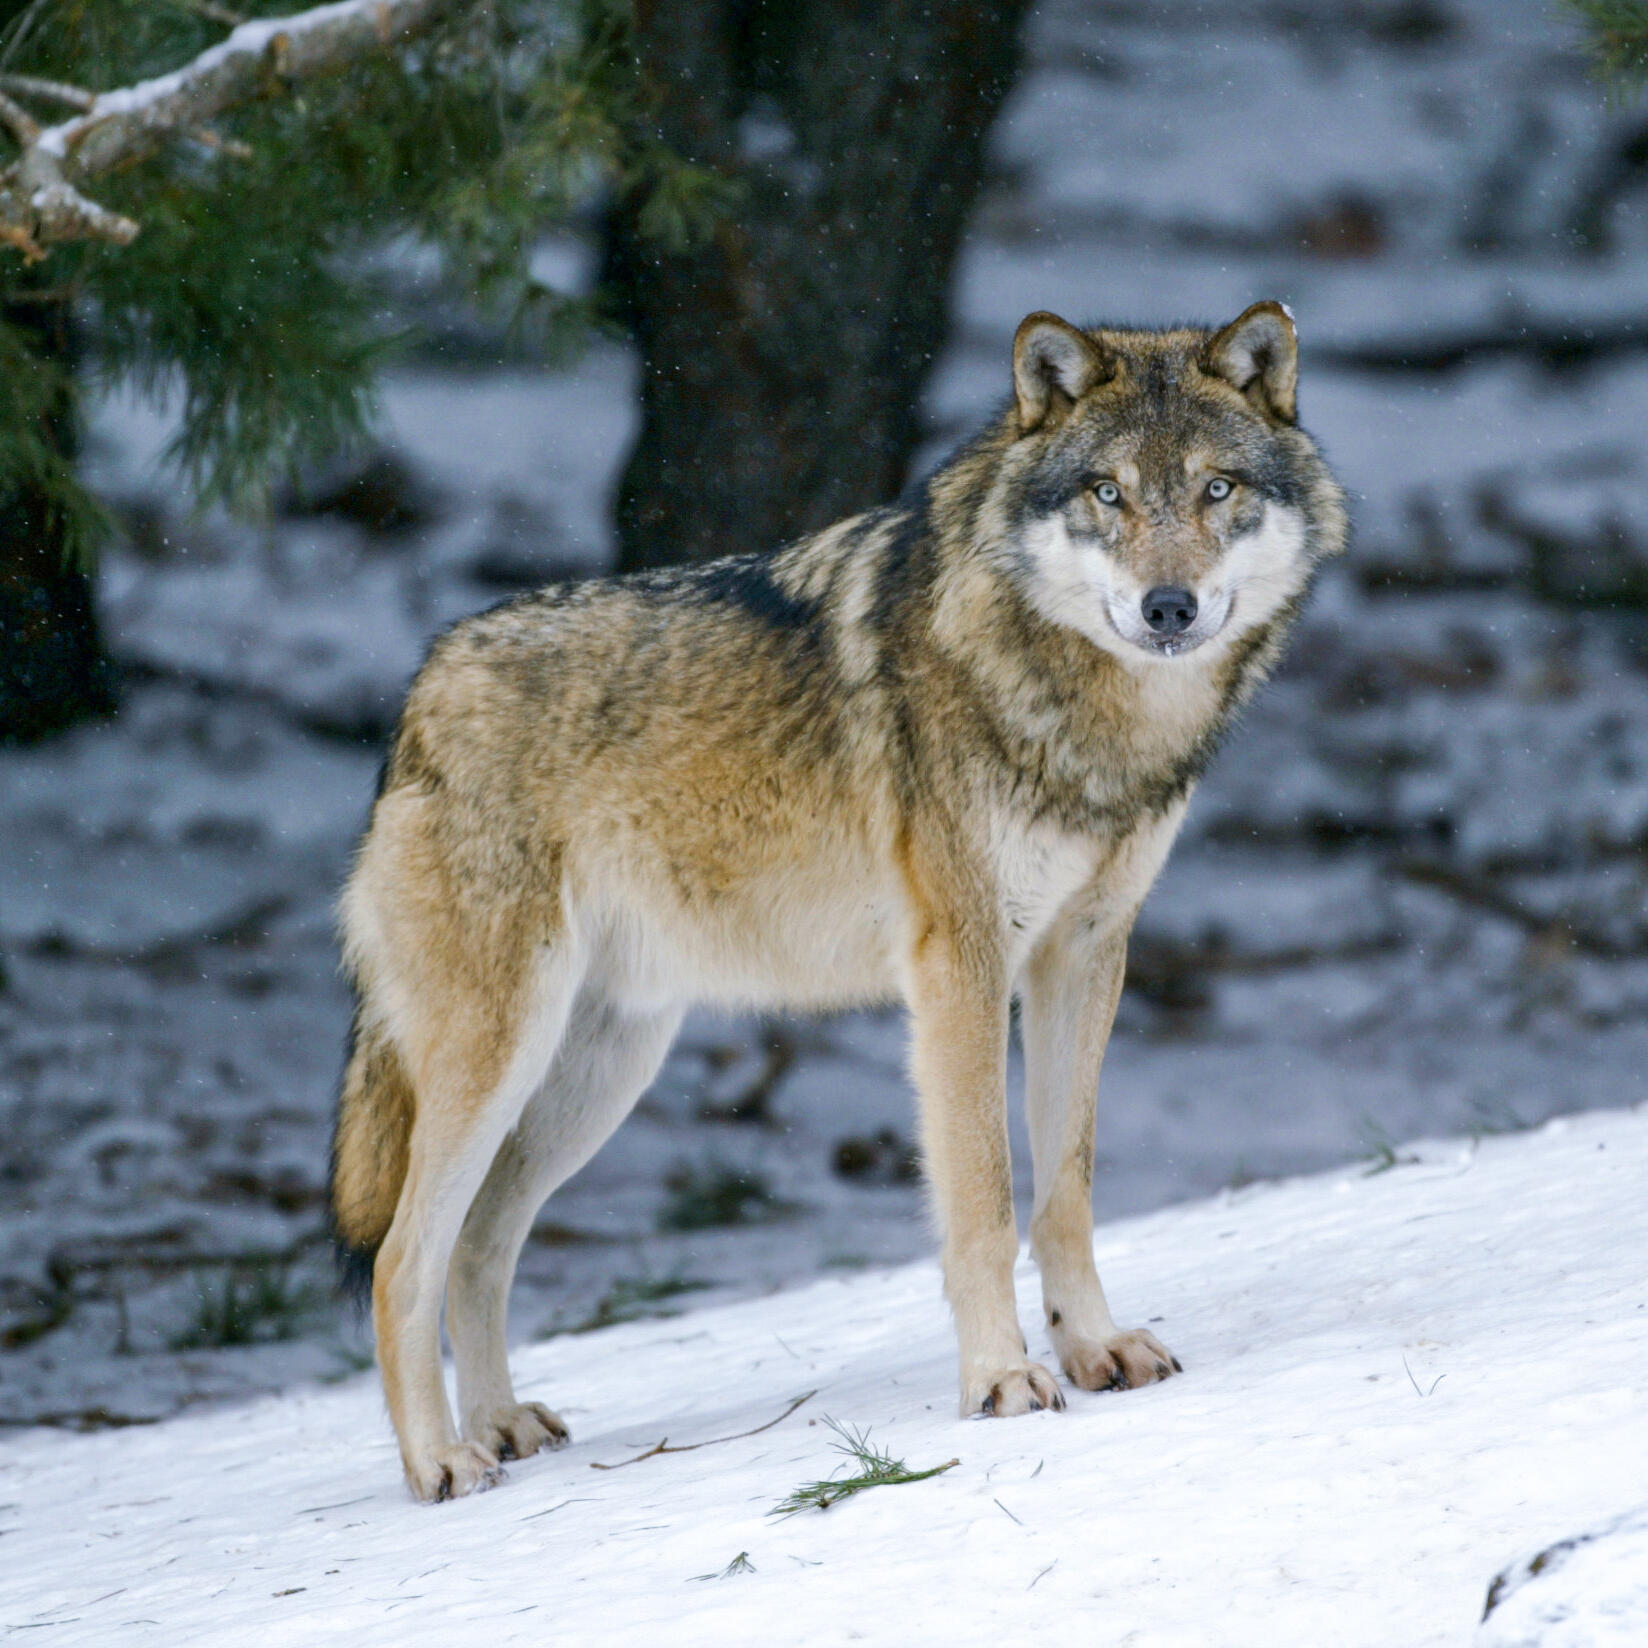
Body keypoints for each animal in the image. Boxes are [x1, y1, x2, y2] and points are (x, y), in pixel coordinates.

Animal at [331, 302, 1347, 1501]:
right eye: (1107, 492)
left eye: (1216, 489)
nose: (1168, 606)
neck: (1087, 716)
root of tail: (418, 697)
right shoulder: (961, 965)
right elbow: (983, 1199)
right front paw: (1001, 1382)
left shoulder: (1086, 952)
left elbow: (1066, 1190)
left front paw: (1095, 1349)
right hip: (502, 1057)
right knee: (402, 1258)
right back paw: (441, 1462)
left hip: (594, 1075)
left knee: (481, 1246)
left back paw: (501, 1429)